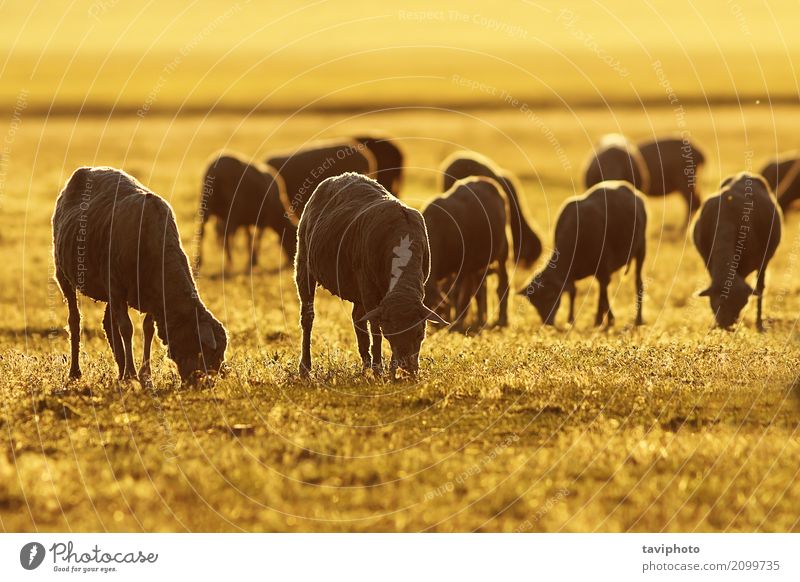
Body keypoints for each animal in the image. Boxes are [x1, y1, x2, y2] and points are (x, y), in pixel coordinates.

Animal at [52, 167, 228, 386]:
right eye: (205, 353)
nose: (204, 385)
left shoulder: (153, 296)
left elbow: (147, 330)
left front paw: (145, 375)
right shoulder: (117, 286)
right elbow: (127, 329)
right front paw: (133, 373)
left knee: (108, 323)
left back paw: (120, 371)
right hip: (63, 274)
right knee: (75, 321)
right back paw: (76, 372)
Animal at [296, 172, 446, 378]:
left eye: (420, 334)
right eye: (389, 334)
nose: (407, 369)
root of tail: (340, 176)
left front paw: (385, 370)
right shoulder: (368, 288)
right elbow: (375, 330)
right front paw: (379, 369)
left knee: (357, 318)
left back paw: (365, 364)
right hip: (304, 263)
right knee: (307, 317)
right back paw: (305, 368)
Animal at [422, 177, 510, 334]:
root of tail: (484, 180)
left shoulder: (463, 267)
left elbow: (456, 294)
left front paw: (455, 324)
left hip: (502, 252)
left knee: (502, 284)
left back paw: (502, 320)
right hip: (478, 266)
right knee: (479, 291)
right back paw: (481, 321)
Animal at [516, 181, 648, 326]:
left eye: (551, 296)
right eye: (535, 303)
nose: (548, 323)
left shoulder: (603, 268)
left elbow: (603, 294)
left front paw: (603, 321)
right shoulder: (574, 274)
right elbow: (575, 292)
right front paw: (571, 320)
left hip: (641, 248)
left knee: (638, 282)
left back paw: (638, 320)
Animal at [692, 171, 780, 330]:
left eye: (741, 304)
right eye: (717, 303)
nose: (725, 325)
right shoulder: (708, 262)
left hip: (764, 261)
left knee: (760, 287)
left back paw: (759, 323)